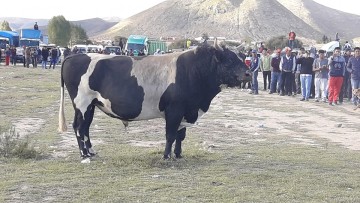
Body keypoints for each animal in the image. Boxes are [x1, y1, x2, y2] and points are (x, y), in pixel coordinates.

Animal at [59, 40, 250, 160]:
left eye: (241, 57)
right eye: (229, 60)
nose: (248, 73)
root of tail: (74, 56)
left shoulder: (185, 110)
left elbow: (181, 135)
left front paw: (178, 155)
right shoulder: (174, 110)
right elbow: (171, 135)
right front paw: (166, 156)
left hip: (91, 105)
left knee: (85, 128)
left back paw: (91, 152)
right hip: (82, 104)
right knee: (79, 127)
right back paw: (84, 154)